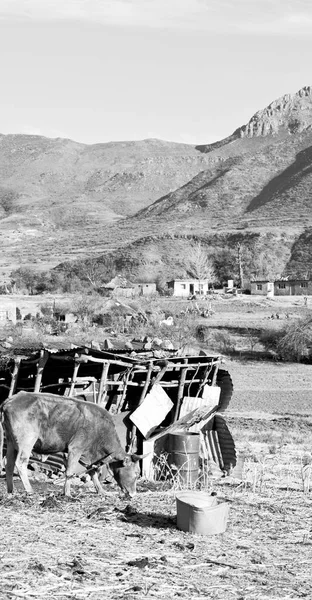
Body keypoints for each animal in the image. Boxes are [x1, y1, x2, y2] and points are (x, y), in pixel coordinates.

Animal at [0, 390, 143, 496]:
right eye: (136, 473)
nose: (133, 494)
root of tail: (11, 400)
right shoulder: (76, 448)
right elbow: (70, 471)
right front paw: (67, 494)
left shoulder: (88, 454)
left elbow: (93, 472)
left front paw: (102, 491)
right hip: (27, 440)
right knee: (20, 463)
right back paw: (29, 491)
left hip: (11, 442)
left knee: (9, 464)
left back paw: (11, 491)